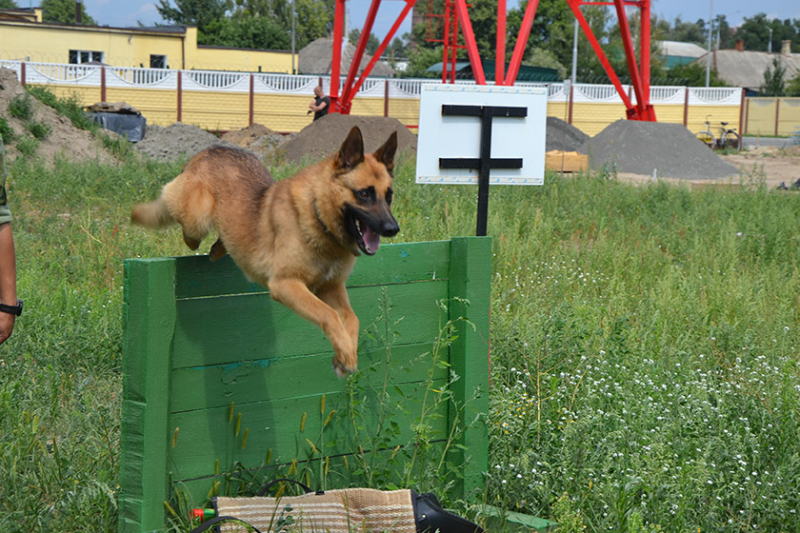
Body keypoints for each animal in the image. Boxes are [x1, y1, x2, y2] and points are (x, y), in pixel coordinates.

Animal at [134, 127, 404, 376]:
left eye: (389, 196)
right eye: (364, 193)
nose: (393, 229)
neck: (317, 214)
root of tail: (210, 150)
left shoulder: (331, 287)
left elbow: (351, 319)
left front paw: (344, 353)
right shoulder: (286, 285)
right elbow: (328, 315)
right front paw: (346, 355)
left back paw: (221, 247)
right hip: (196, 218)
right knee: (182, 223)